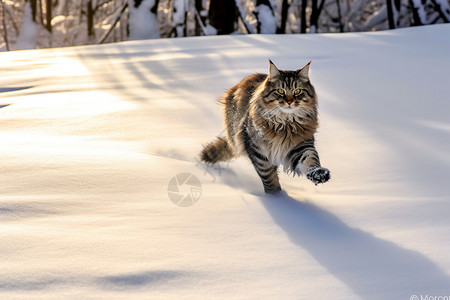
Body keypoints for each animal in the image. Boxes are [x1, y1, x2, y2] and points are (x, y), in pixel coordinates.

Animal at [201, 60, 330, 195]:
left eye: (297, 91)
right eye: (280, 91)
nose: (289, 102)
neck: (285, 123)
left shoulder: (301, 146)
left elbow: (311, 159)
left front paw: (318, 174)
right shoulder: (257, 149)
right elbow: (267, 174)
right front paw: (275, 195)